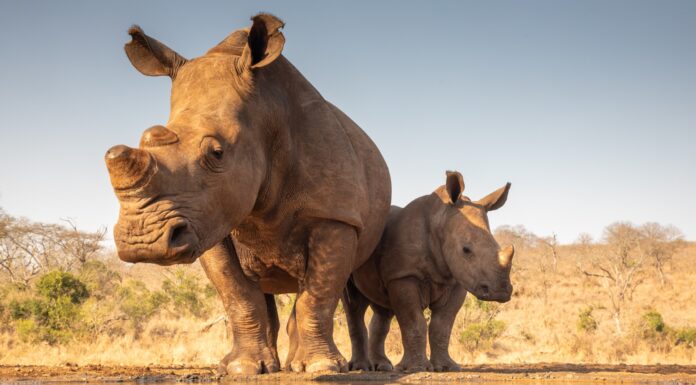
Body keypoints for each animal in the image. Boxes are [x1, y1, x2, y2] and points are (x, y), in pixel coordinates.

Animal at [106, 14, 394, 372]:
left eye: (216, 153)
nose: (142, 241)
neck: (266, 113)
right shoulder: (208, 220)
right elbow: (238, 295)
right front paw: (242, 367)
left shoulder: (335, 215)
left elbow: (318, 295)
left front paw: (321, 368)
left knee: (343, 295)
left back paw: (332, 366)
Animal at [346, 170, 512, 368]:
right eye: (466, 250)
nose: (501, 292)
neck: (440, 220)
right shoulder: (403, 276)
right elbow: (414, 322)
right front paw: (416, 368)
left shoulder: (456, 281)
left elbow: (442, 325)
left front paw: (447, 367)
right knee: (354, 304)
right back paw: (360, 367)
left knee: (382, 308)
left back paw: (383, 367)